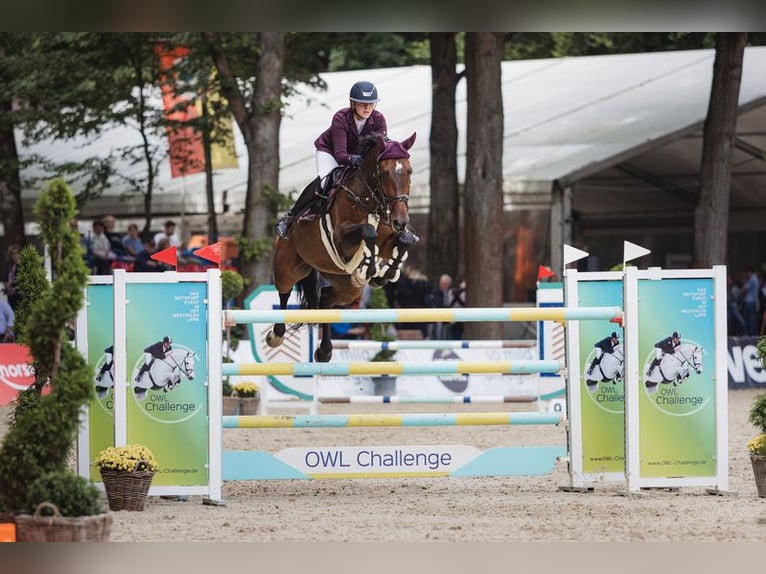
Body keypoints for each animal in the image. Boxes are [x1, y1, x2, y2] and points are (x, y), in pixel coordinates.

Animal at [268, 133, 416, 362]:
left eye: (409, 171)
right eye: (384, 172)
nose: (400, 221)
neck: (369, 199)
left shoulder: (388, 238)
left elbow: (405, 240)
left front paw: (383, 274)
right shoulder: (341, 239)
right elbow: (368, 231)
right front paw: (371, 268)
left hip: (346, 286)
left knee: (326, 301)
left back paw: (324, 351)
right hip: (288, 267)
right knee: (284, 292)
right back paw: (276, 335)